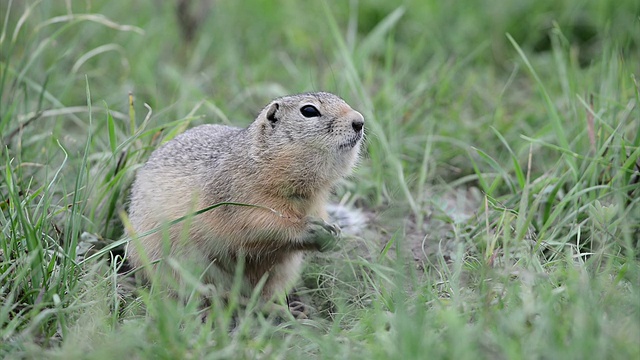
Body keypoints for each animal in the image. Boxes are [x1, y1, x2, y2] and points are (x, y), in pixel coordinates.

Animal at [126, 91, 364, 316]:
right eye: (309, 110)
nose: (359, 121)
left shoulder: (316, 204)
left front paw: (334, 232)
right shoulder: (239, 200)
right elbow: (259, 226)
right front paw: (311, 229)